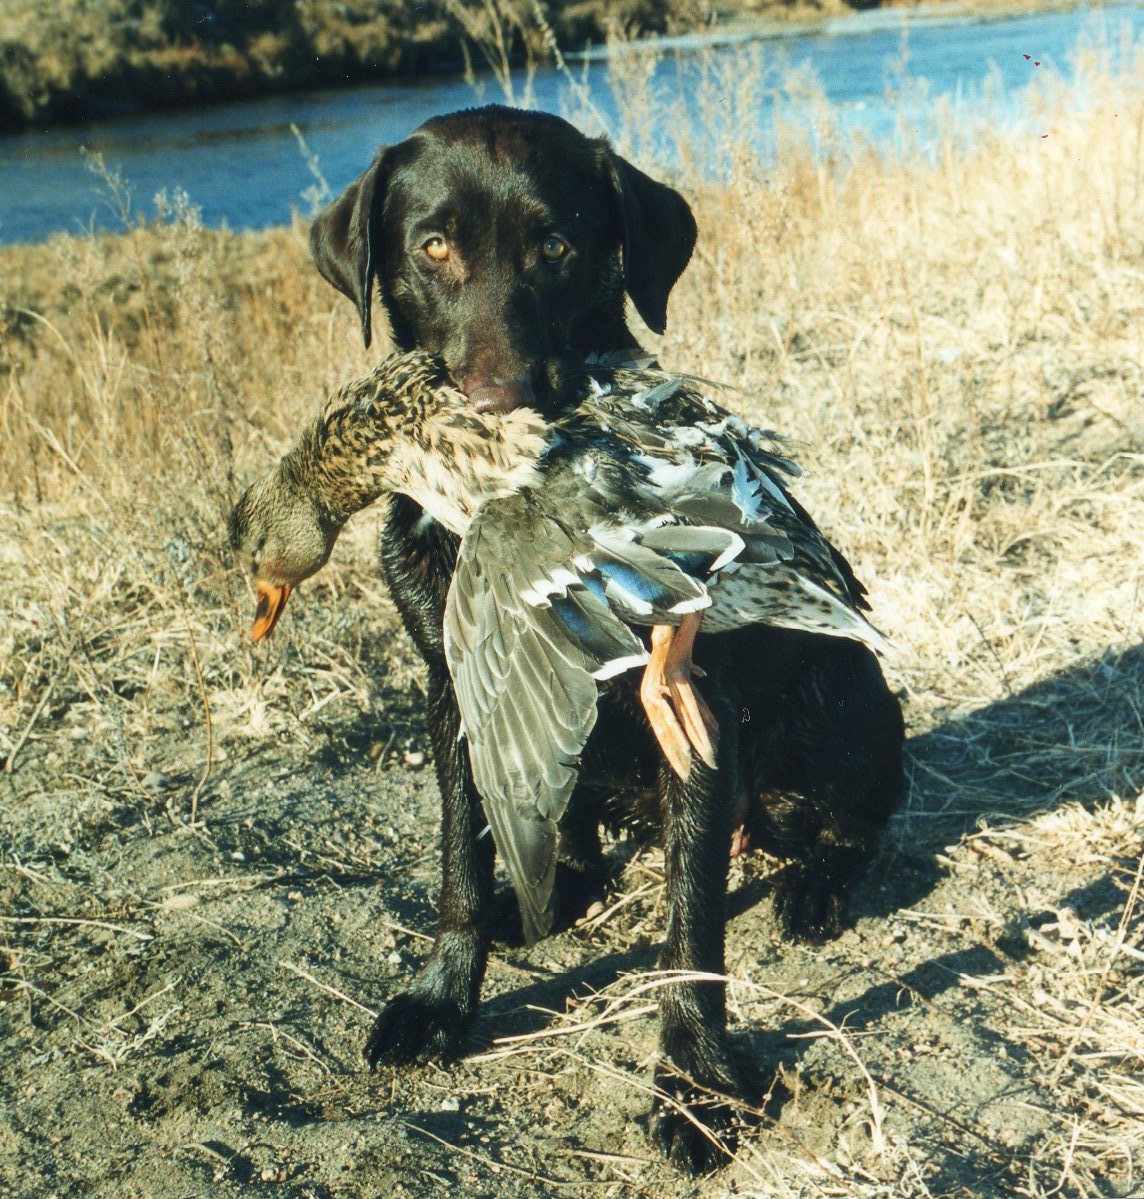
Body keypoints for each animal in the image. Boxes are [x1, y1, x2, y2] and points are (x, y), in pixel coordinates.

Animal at [309, 105, 904, 1173]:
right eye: (431, 246)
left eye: (558, 246)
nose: (495, 411)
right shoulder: (447, 688)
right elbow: (461, 859)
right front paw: (442, 996)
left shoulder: (698, 705)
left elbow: (693, 927)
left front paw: (698, 1084)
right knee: (569, 836)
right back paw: (546, 897)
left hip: (840, 686)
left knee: (857, 816)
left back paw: (816, 889)